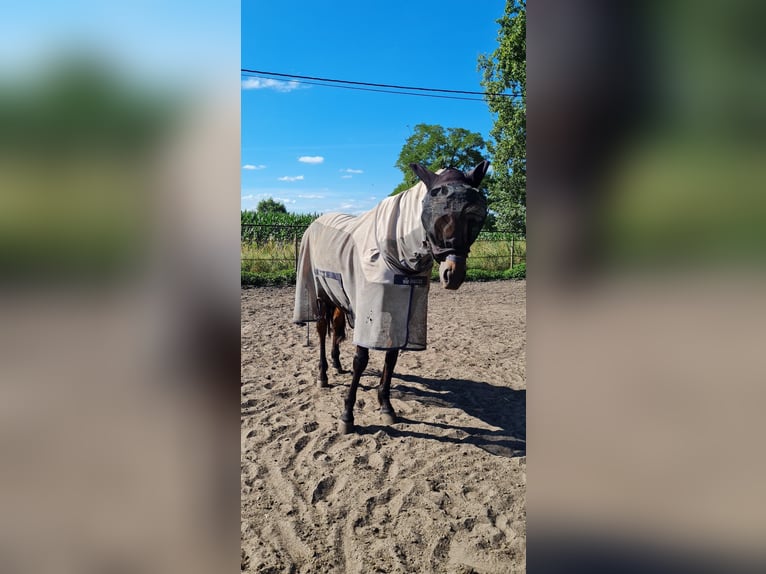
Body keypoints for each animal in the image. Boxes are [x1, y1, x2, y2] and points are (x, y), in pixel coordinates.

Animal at [294, 160, 492, 434]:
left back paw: (336, 364)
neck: (394, 253)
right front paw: (347, 415)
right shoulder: (368, 313)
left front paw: (386, 406)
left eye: (475, 216)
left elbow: (392, 357)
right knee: (323, 329)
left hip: (339, 296)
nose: (453, 274)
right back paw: (323, 375)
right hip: (320, 294)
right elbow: (361, 360)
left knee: (335, 327)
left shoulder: (402, 313)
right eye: (435, 212)